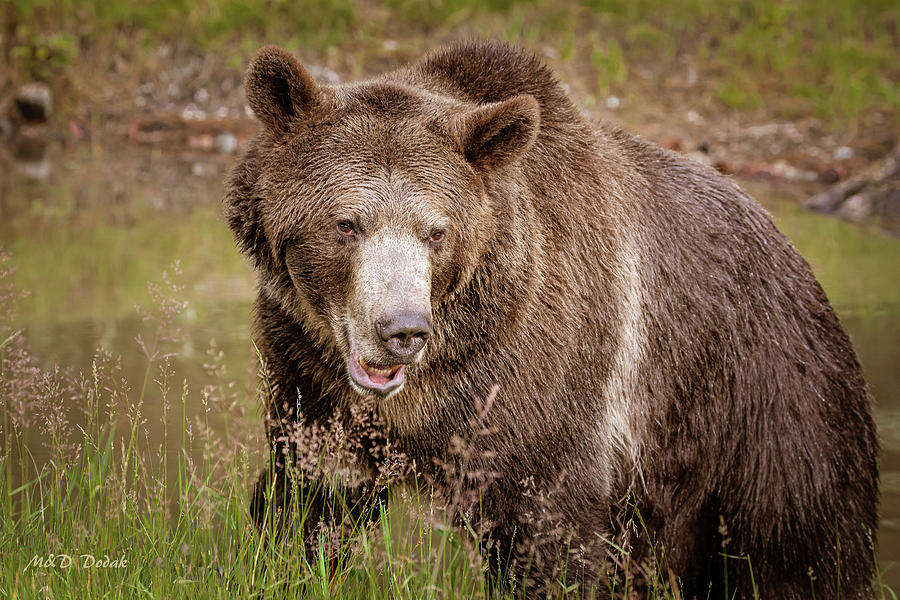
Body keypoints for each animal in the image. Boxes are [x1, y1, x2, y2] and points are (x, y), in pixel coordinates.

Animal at [225, 39, 880, 596]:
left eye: (436, 231)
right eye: (347, 223)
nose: (402, 330)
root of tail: (792, 253)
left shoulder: (545, 388)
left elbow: (548, 537)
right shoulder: (308, 378)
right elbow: (306, 503)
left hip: (768, 404)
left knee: (799, 550)